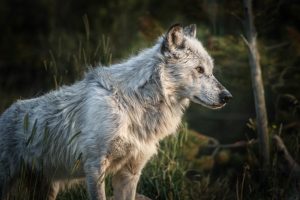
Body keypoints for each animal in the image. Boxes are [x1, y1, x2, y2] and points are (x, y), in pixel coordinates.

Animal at [0, 23, 232, 200]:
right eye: (199, 70)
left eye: (210, 70)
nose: (227, 97)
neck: (133, 105)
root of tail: (5, 113)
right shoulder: (95, 167)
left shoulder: (129, 173)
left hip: (48, 189)